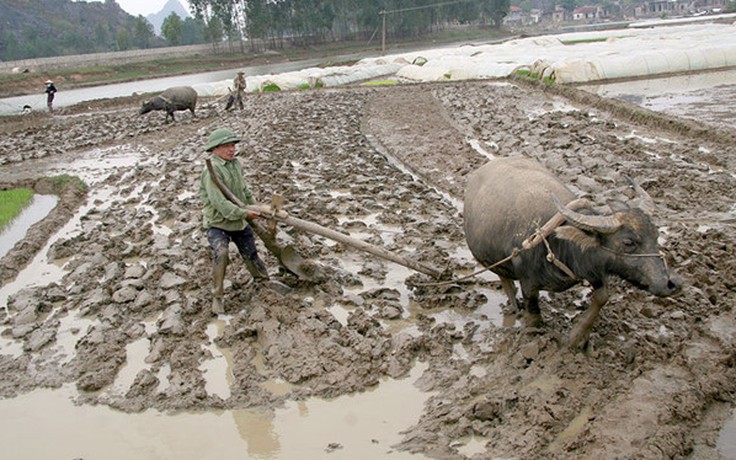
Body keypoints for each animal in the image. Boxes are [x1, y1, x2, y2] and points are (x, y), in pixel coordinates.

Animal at [466, 156, 684, 346]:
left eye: (656, 235)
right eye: (629, 243)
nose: (673, 283)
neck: (556, 244)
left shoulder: (593, 268)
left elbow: (602, 297)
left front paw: (576, 337)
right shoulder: (528, 284)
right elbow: (534, 315)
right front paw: (534, 335)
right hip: (491, 262)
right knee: (506, 282)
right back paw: (514, 307)